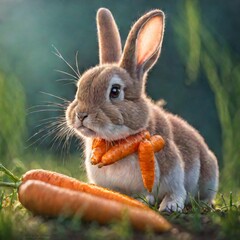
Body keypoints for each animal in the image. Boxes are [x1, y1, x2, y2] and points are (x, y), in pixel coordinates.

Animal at [65, 7, 219, 212]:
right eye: (78, 88)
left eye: (115, 91)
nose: (81, 115)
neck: (117, 143)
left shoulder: (174, 173)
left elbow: (177, 192)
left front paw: (168, 207)